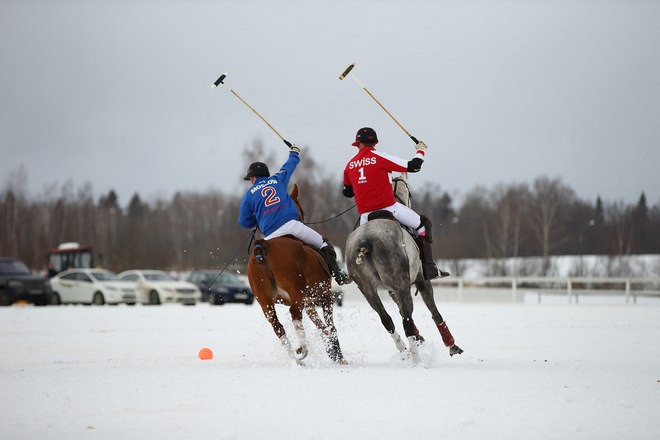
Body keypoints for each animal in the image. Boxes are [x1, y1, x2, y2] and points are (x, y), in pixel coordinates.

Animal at [244, 185, 346, 364]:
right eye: (302, 211)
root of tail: (264, 246)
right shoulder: (325, 295)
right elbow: (330, 326)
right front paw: (339, 356)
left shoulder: (310, 302)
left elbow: (322, 327)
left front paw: (333, 352)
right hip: (295, 292)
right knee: (294, 314)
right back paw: (302, 349)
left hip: (265, 301)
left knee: (277, 326)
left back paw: (297, 359)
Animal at [346, 174, 464, 362]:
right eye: (411, 193)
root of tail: (365, 241)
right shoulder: (421, 281)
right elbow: (434, 311)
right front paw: (452, 345)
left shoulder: (391, 290)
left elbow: (401, 312)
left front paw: (419, 337)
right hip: (400, 283)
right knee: (406, 321)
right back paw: (417, 360)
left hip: (367, 290)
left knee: (387, 320)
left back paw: (403, 349)